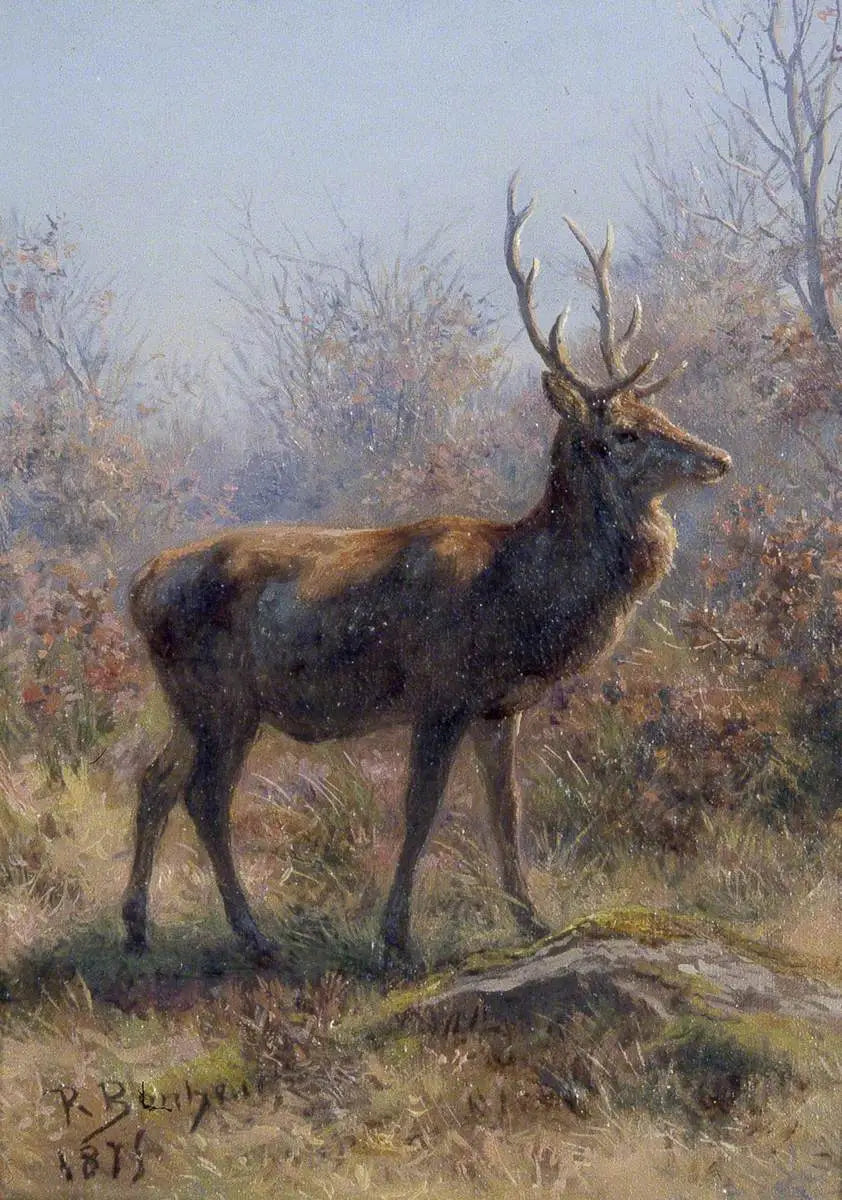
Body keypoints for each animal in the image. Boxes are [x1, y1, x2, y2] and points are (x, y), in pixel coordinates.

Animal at [122, 176, 730, 972]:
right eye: (624, 433)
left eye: (659, 412)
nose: (718, 458)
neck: (524, 596)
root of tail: (141, 587)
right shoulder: (442, 690)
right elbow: (421, 810)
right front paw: (396, 940)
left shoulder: (501, 707)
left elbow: (507, 810)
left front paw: (531, 920)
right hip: (224, 699)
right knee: (204, 798)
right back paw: (255, 936)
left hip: (189, 701)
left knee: (154, 779)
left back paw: (138, 928)